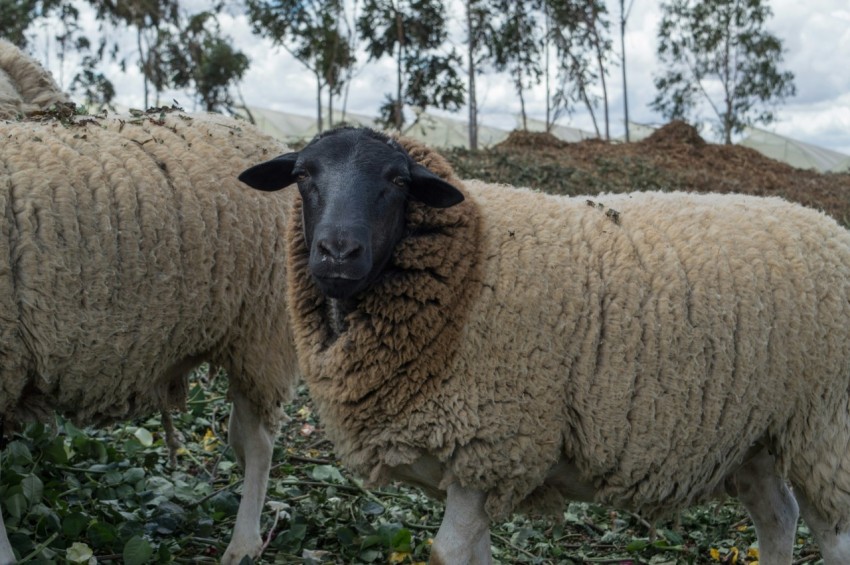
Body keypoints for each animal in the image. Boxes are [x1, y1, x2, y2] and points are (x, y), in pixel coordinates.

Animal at [238, 125, 850, 565]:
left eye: (397, 180)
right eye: (303, 174)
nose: (337, 253)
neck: (470, 269)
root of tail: (827, 223)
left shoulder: (488, 442)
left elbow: (446, 554)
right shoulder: (477, 464)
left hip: (824, 426)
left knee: (831, 533)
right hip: (756, 431)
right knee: (778, 518)